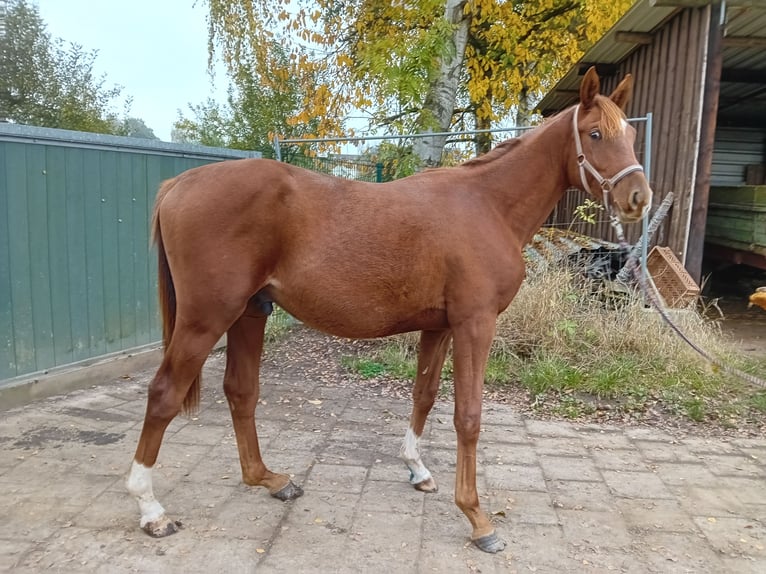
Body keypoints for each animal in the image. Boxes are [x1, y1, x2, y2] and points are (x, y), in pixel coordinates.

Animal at [127, 68, 656, 560]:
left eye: (630, 136)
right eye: (595, 134)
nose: (638, 198)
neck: (486, 205)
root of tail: (179, 183)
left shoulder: (439, 327)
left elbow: (424, 395)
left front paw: (417, 469)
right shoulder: (475, 325)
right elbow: (468, 416)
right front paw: (478, 519)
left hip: (249, 314)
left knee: (241, 392)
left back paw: (270, 479)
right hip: (205, 319)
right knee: (163, 395)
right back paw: (151, 510)